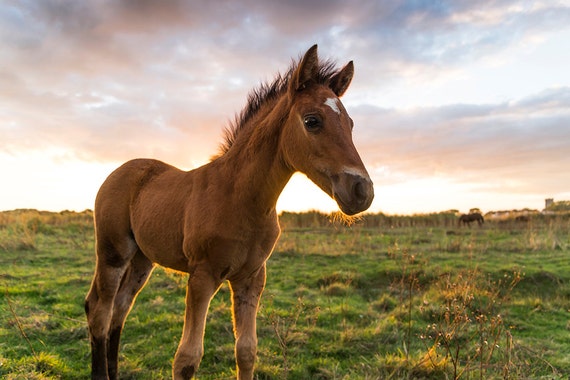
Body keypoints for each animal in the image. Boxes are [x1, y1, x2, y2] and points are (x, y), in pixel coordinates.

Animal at [84, 45, 372, 380]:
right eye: (312, 121)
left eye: (351, 124)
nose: (362, 191)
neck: (240, 200)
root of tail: (121, 170)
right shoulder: (202, 276)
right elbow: (186, 359)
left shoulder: (251, 278)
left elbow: (246, 351)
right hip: (113, 252)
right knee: (100, 311)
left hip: (143, 258)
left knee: (120, 309)